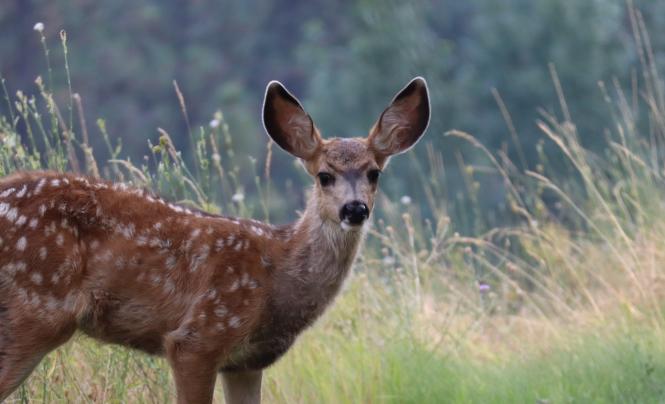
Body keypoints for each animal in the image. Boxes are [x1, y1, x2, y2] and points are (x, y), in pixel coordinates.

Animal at [0, 77, 430, 403]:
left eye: (374, 173)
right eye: (325, 176)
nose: (354, 209)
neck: (277, 276)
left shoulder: (246, 362)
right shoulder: (200, 335)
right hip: (36, 309)